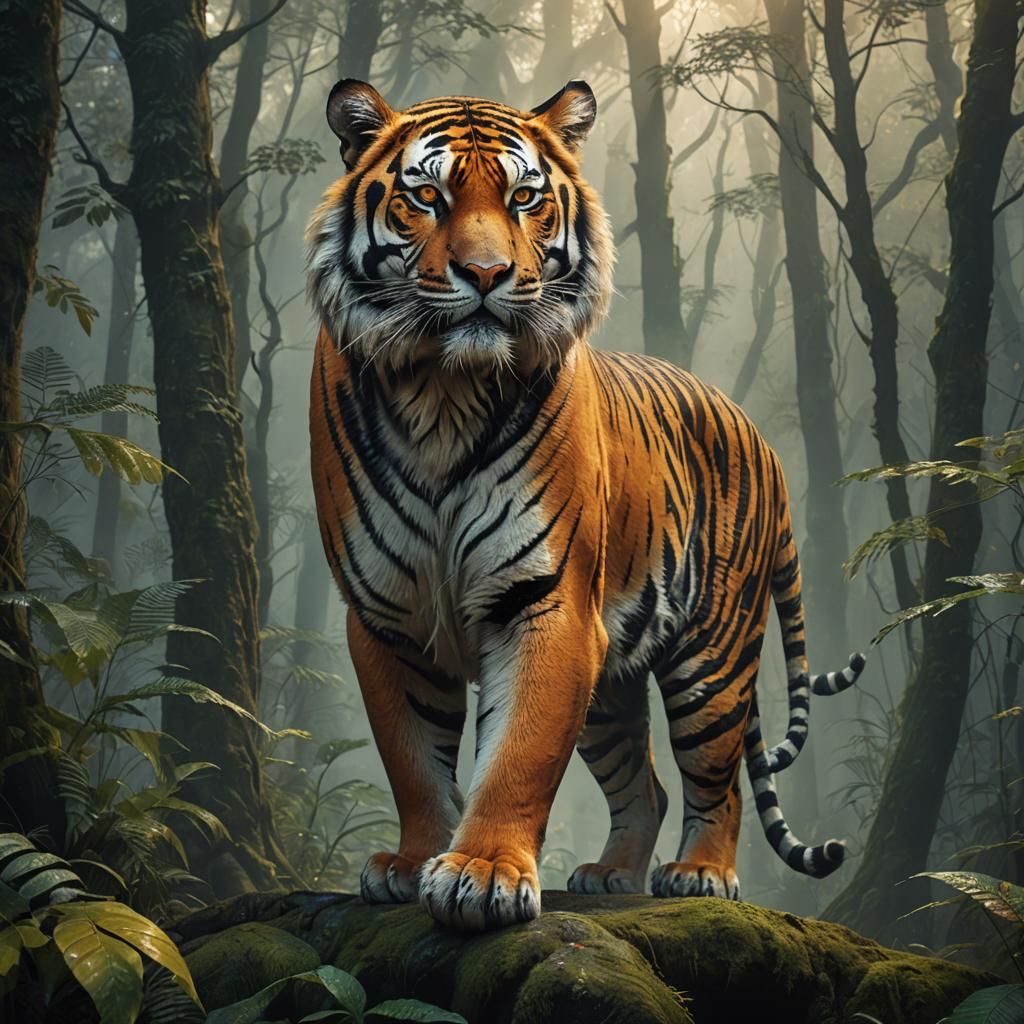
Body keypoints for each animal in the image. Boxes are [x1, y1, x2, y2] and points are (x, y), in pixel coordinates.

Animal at [306, 77, 864, 932]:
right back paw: (614, 874)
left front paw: (483, 873)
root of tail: (760, 436)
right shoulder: (385, 615)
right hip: (610, 684)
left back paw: (701, 874)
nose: (486, 273)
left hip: (713, 658)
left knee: (717, 777)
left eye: (525, 197)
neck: (444, 393)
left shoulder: (548, 603)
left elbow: (520, 753)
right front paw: (411, 863)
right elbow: (413, 757)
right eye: (427, 196)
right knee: (648, 783)